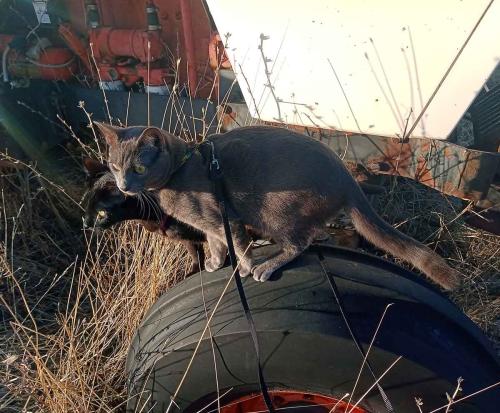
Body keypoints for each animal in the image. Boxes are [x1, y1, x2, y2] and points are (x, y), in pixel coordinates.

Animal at [96, 123, 460, 290]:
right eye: (113, 165)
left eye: (138, 167)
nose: (123, 185)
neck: (181, 169)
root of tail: (347, 178)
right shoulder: (211, 224)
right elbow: (215, 243)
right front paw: (214, 263)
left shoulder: (223, 216)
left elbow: (238, 244)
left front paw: (244, 268)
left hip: (274, 209)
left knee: (300, 241)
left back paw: (266, 266)